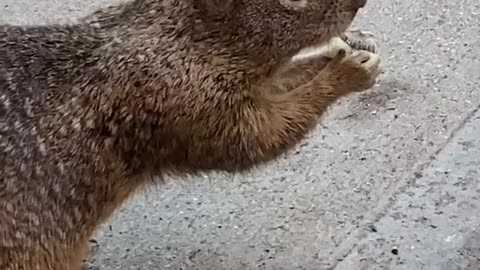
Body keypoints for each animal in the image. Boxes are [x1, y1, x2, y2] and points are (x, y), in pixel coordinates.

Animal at [1, 0, 380, 268]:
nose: (359, 0)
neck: (183, 41)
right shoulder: (185, 105)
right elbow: (259, 138)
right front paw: (346, 72)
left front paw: (349, 46)